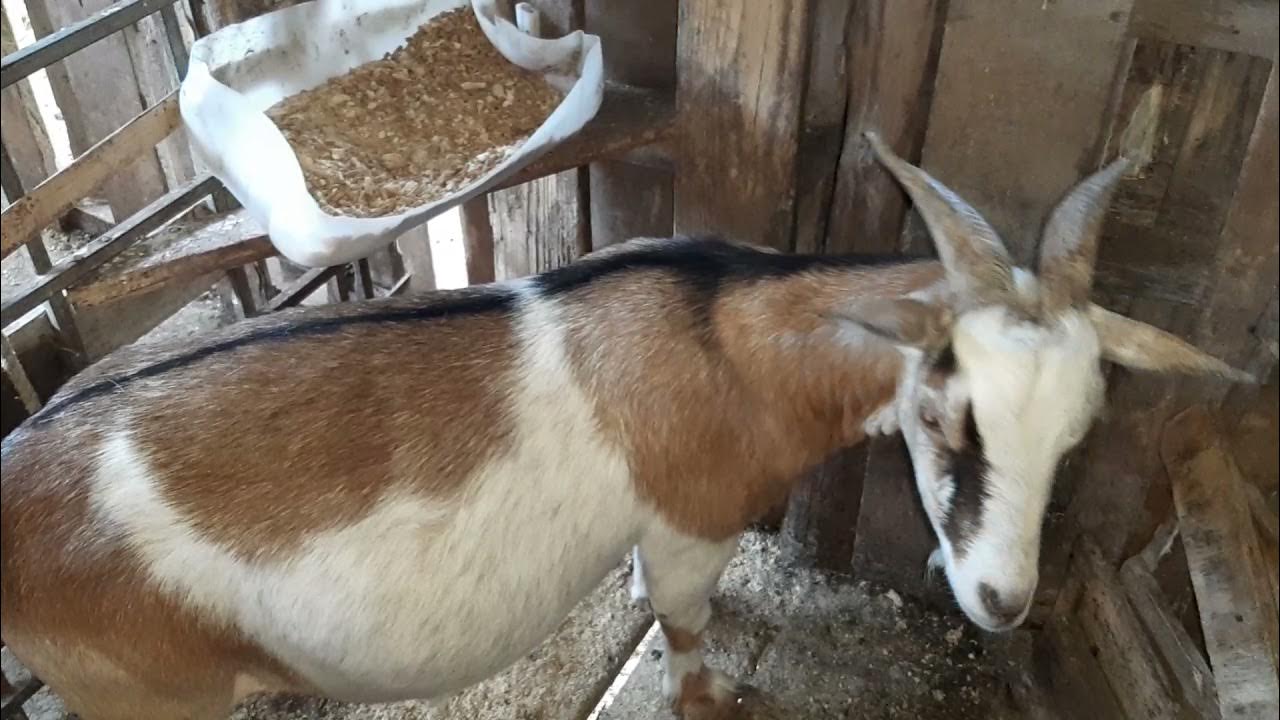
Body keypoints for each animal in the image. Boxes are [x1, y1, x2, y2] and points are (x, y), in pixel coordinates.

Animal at [0, 135, 1251, 720]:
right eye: (948, 413)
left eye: (1079, 430)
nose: (999, 601)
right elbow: (684, 627)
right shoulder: (686, 525)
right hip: (148, 694)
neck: (722, 337)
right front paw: (710, 698)